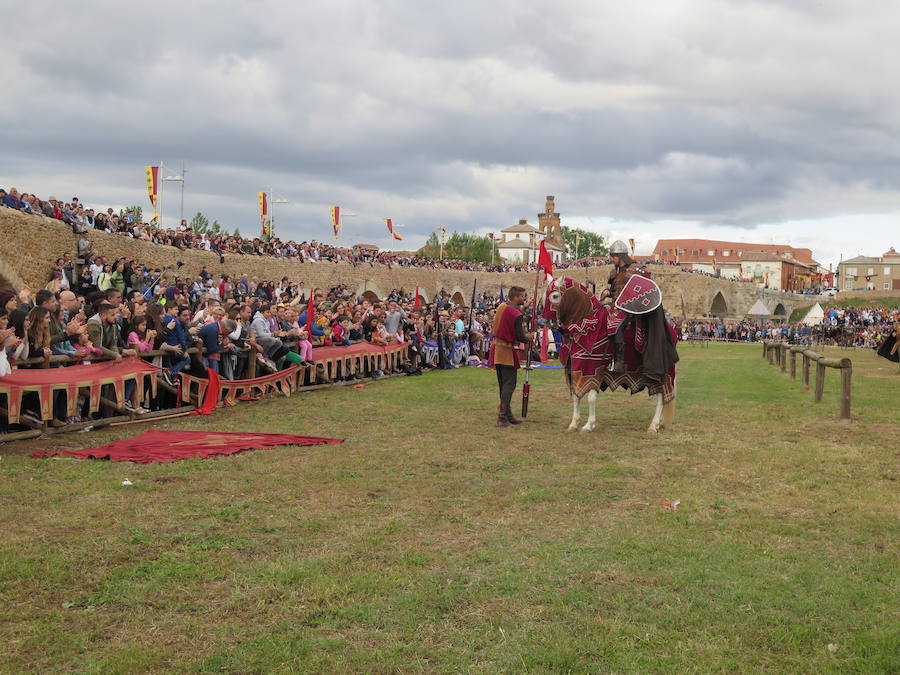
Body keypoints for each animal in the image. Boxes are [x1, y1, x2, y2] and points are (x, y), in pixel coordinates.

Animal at [536, 278, 680, 434]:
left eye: (555, 296)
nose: (546, 322)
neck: (587, 326)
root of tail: (672, 329)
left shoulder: (592, 370)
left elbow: (591, 397)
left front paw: (589, 425)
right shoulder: (574, 370)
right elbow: (576, 396)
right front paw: (574, 423)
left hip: (663, 374)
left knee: (662, 397)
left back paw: (653, 426)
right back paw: (658, 424)